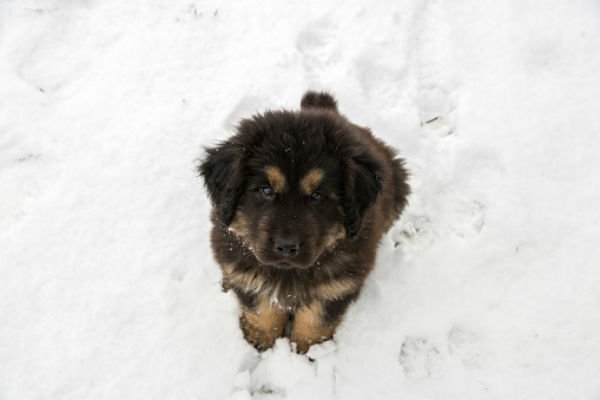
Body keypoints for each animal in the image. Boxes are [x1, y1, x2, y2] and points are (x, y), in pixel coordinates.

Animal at [199, 91, 410, 354]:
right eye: (266, 190)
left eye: (317, 196)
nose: (286, 247)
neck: (289, 272)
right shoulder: (242, 268)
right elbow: (261, 308)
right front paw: (260, 338)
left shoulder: (340, 284)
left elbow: (315, 320)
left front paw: (306, 350)